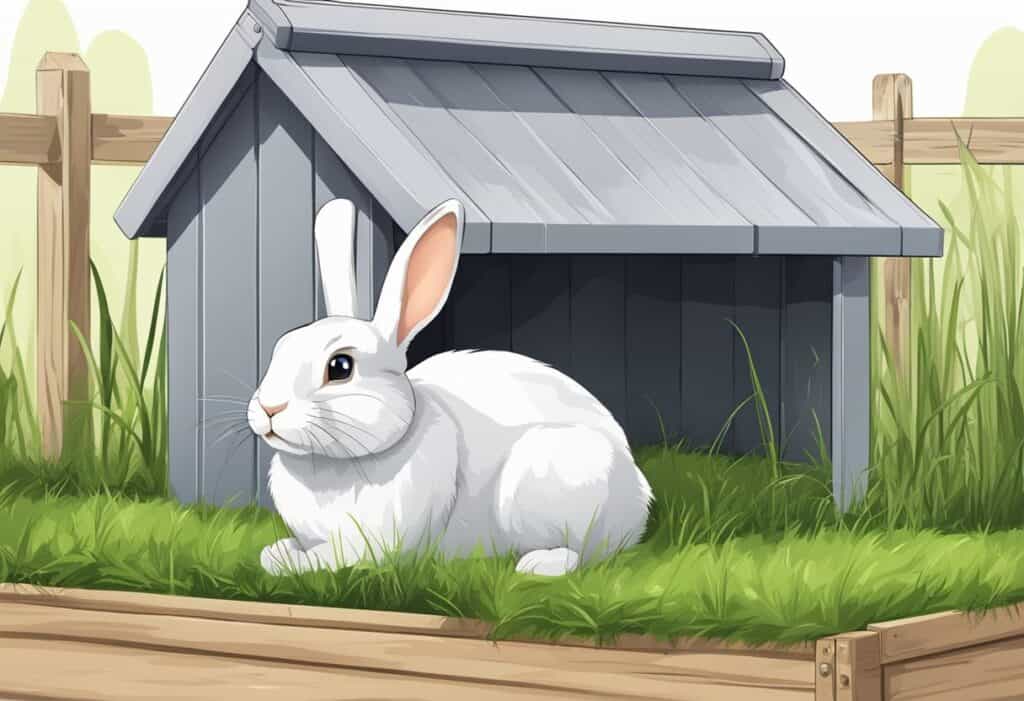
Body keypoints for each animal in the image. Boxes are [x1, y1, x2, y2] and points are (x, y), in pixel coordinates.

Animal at [248, 197, 652, 577]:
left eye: (340, 367)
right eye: (280, 348)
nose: (269, 408)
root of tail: (638, 494)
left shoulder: (374, 542)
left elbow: (334, 556)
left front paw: (293, 562)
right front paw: (277, 552)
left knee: (588, 553)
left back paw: (540, 564)